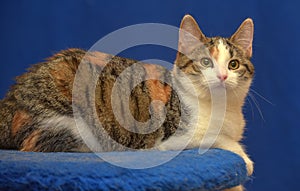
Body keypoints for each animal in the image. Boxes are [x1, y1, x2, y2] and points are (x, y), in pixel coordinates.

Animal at [0, 14, 253, 178]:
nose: (222, 76)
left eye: (233, 64)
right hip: (74, 128)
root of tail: (12, 97)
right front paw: (245, 159)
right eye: (205, 62)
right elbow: (216, 139)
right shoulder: (174, 140)